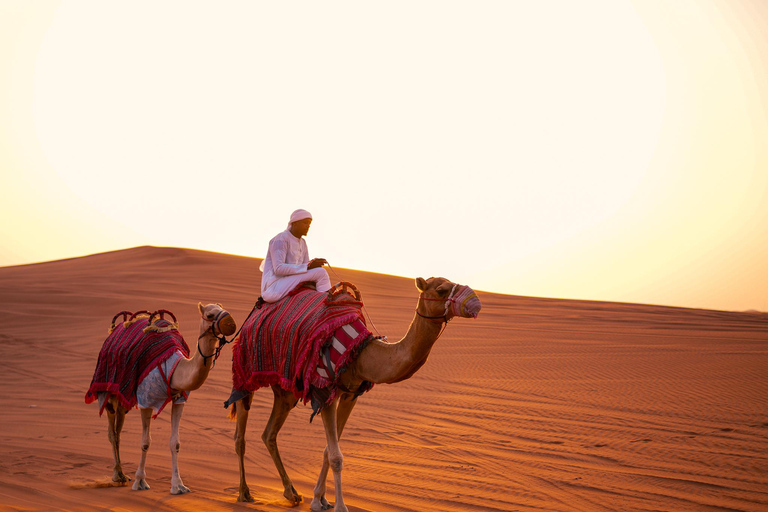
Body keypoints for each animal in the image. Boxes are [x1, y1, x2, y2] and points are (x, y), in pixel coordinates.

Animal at [85, 302, 236, 494]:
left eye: (222, 308)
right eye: (210, 315)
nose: (231, 323)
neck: (174, 368)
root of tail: (115, 329)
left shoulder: (180, 400)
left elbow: (175, 443)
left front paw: (178, 485)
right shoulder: (146, 400)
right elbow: (145, 442)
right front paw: (140, 481)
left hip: (123, 398)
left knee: (118, 429)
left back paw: (122, 474)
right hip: (108, 391)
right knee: (112, 432)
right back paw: (118, 475)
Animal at [230, 278, 480, 512]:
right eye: (441, 290)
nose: (475, 302)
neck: (361, 353)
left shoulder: (350, 394)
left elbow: (328, 450)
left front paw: (320, 499)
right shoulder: (325, 392)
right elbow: (335, 456)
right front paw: (340, 506)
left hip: (286, 391)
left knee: (269, 434)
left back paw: (291, 493)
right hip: (246, 372)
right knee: (240, 434)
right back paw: (244, 492)